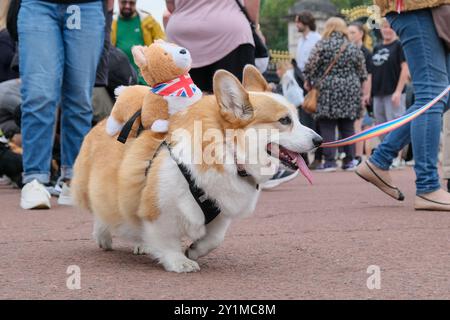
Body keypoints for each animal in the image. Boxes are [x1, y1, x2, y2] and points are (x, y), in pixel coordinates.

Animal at [72, 65, 322, 272]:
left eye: (297, 117)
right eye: (285, 120)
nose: (319, 140)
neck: (228, 152)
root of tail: (101, 122)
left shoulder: (221, 212)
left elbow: (214, 239)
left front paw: (193, 250)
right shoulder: (158, 207)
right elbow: (165, 238)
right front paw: (179, 262)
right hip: (98, 190)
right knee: (102, 212)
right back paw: (104, 238)